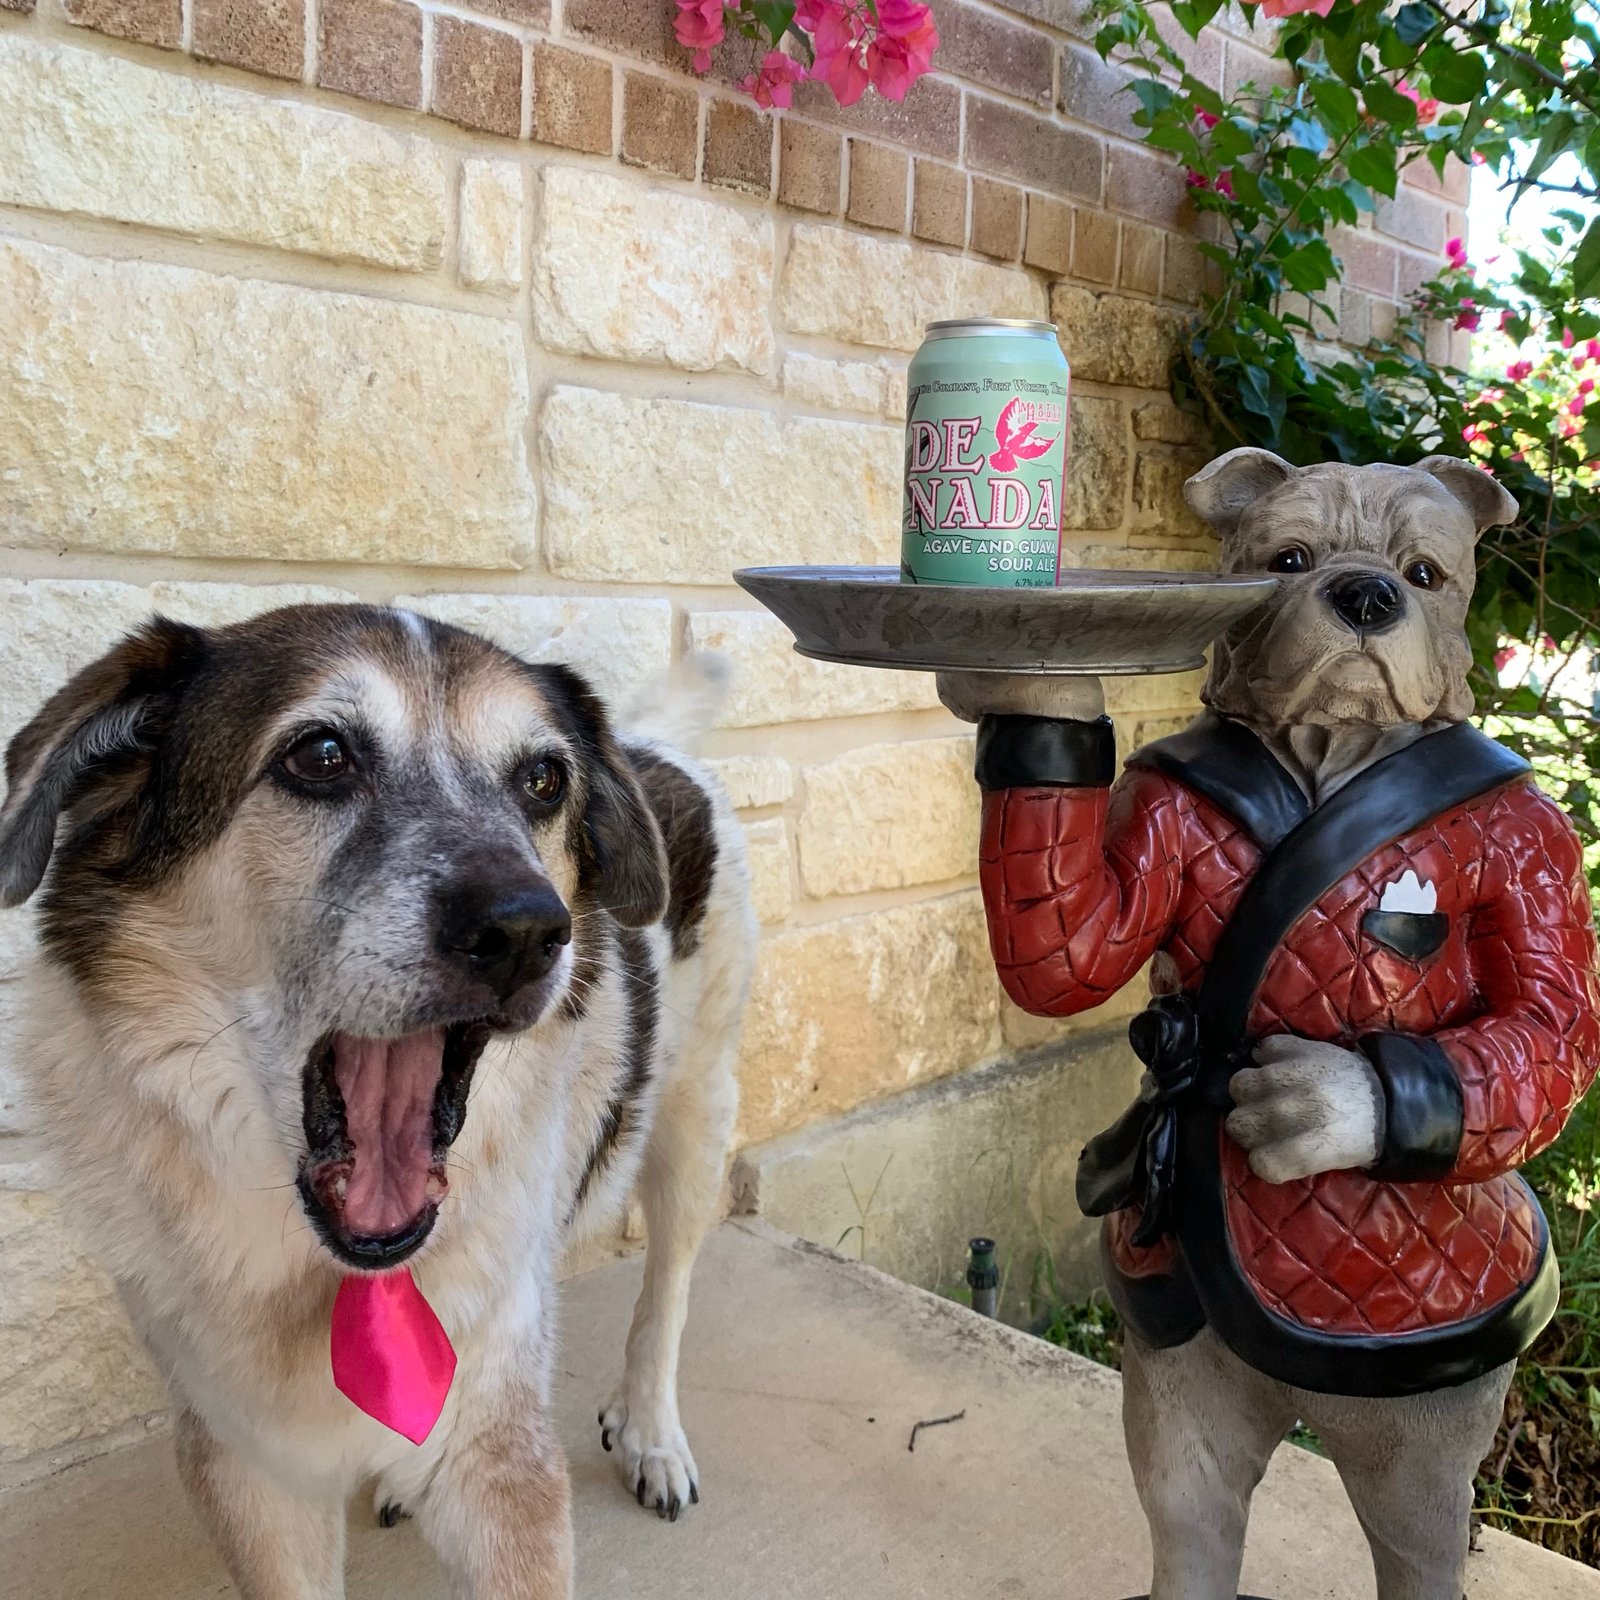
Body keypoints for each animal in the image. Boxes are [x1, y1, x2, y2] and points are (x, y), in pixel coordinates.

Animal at [0, 601, 755, 1600]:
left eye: (544, 779)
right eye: (320, 755)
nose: (527, 929)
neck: (339, 1272)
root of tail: (650, 744)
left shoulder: (501, 1464)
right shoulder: (247, 1468)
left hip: (695, 1114)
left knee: (667, 1285)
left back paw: (652, 1433)